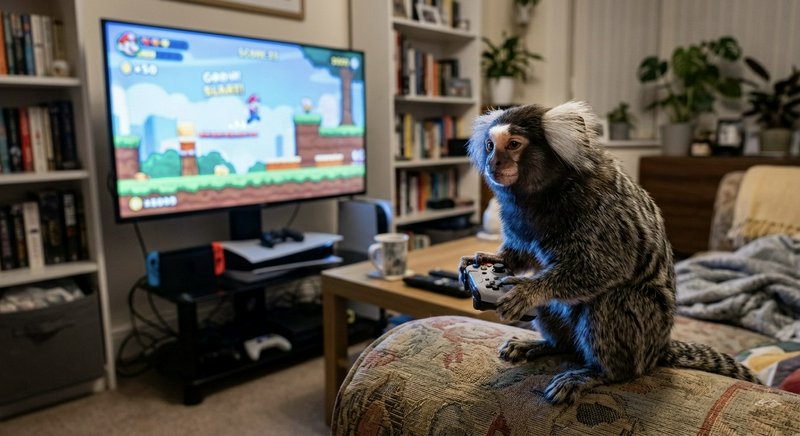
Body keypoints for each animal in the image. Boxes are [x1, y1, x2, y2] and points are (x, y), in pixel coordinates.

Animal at [459, 101, 760, 405]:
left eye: (513, 144)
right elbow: (521, 255)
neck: (549, 191)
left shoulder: (602, 212)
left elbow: (606, 268)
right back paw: (547, 345)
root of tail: (660, 349)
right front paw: (488, 262)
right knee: (562, 328)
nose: (493, 163)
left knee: (613, 300)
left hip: (645, 334)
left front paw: (528, 290)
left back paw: (598, 373)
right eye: (489, 146)